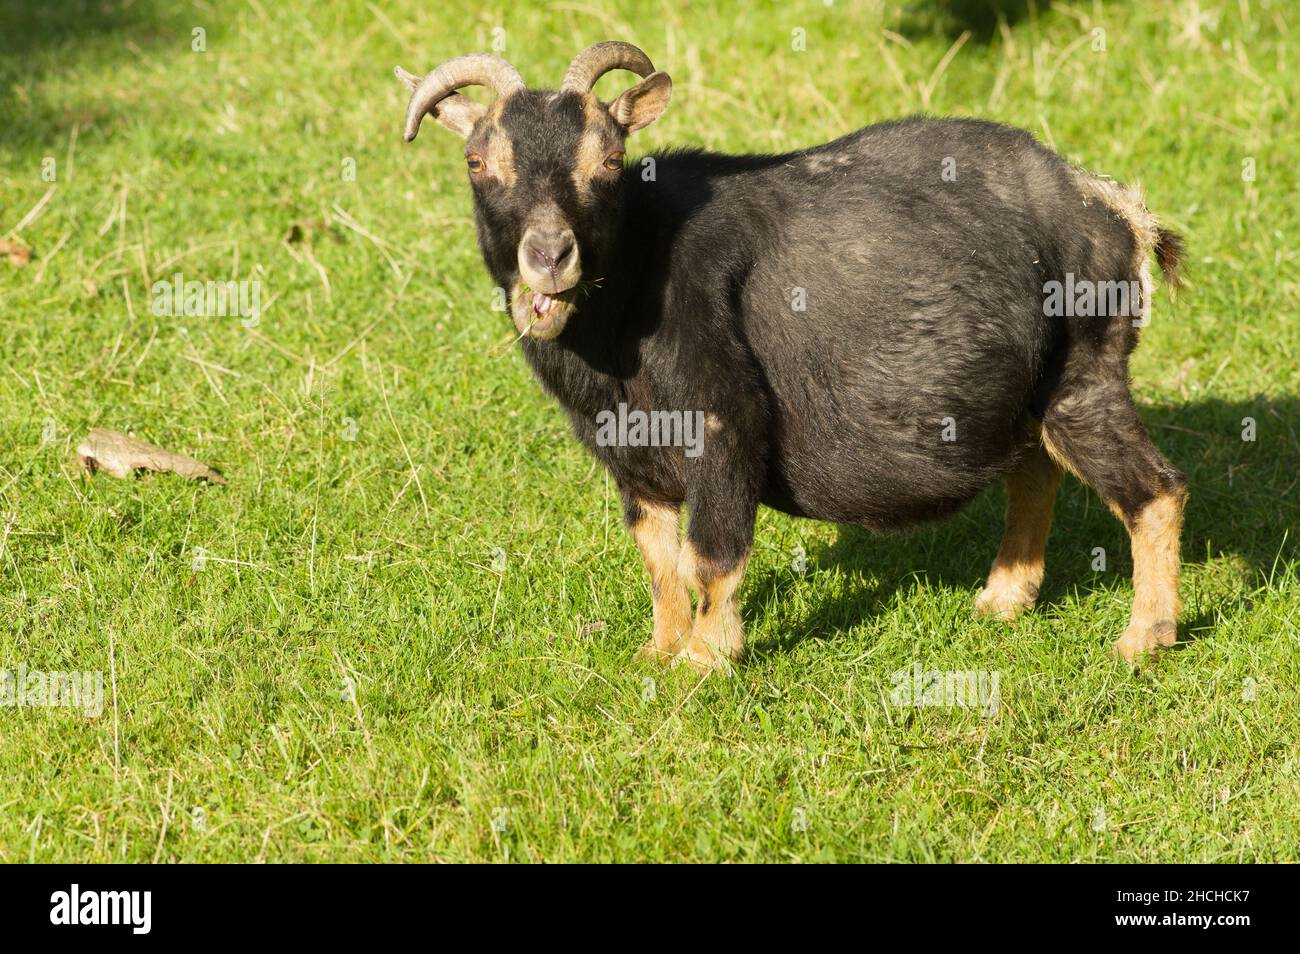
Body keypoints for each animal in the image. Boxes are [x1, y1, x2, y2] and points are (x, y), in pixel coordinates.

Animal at [395, 41, 1188, 670]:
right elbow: (657, 556)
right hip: (1027, 397)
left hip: (1084, 372)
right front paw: (660, 649)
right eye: (477, 161)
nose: (550, 255)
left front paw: (706, 661)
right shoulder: (631, 454)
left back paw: (1142, 639)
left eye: (611, 161)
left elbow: (709, 551)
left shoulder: (723, 416)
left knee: (1155, 491)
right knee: (1034, 474)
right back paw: (1003, 599)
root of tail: (1113, 210)